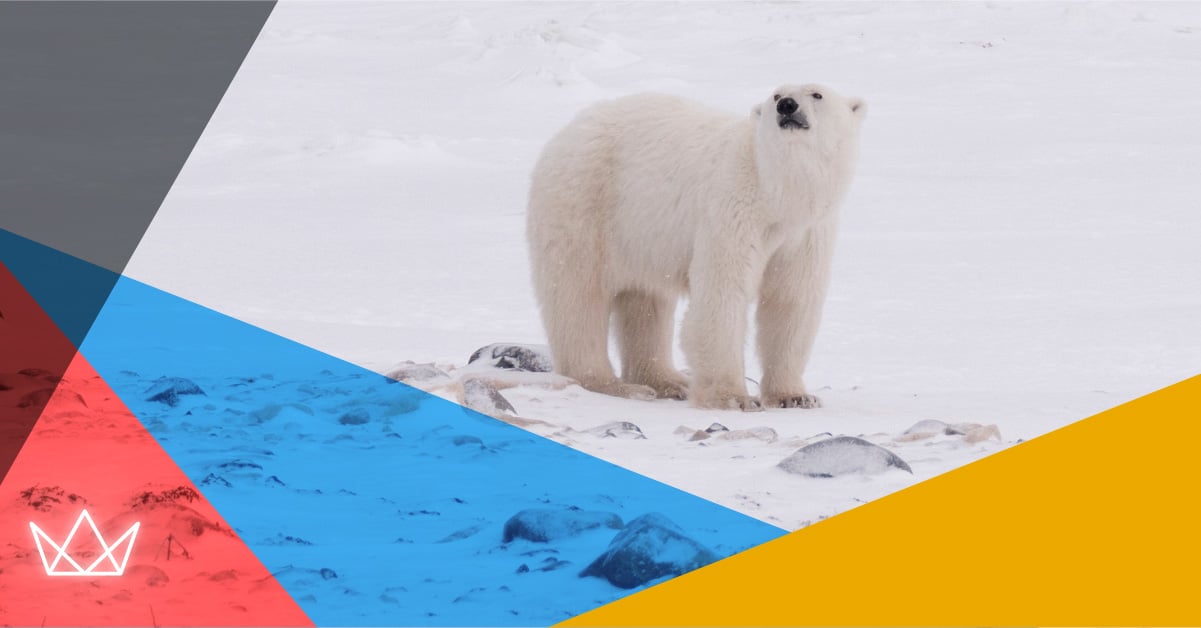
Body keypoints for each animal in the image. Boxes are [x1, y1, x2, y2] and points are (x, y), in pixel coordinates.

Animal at [526, 84, 865, 410]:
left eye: (817, 94)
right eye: (776, 95)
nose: (787, 106)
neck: (778, 195)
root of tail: (566, 132)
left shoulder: (806, 234)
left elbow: (790, 301)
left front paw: (795, 396)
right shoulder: (733, 208)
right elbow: (723, 293)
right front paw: (734, 398)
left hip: (642, 235)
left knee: (646, 300)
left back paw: (667, 381)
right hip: (584, 205)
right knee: (578, 297)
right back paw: (611, 384)